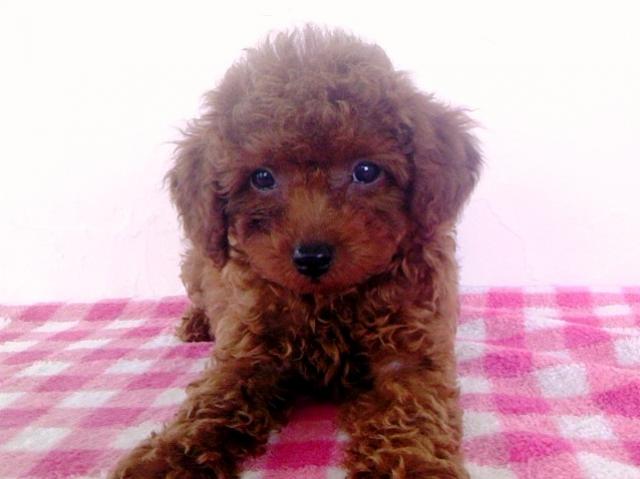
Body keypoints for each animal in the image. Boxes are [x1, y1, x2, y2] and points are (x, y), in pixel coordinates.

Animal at [111, 25, 481, 478]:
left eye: (366, 170)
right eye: (262, 177)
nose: (312, 257)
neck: (328, 303)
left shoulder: (411, 350)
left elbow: (412, 411)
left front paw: (411, 465)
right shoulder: (249, 348)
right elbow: (215, 401)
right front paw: (168, 457)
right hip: (196, 262)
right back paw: (196, 324)